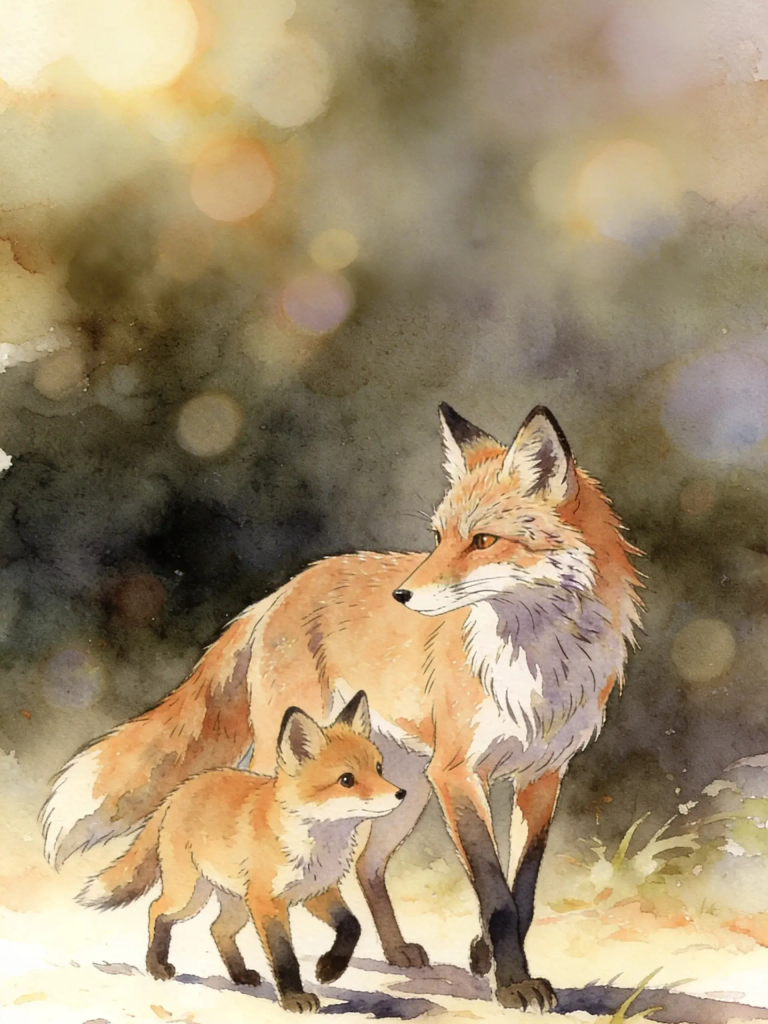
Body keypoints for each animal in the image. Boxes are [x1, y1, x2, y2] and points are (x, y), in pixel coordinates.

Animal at [78, 691, 403, 1013]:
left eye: (379, 769)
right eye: (347, 780)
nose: (401, 793)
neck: (317, 842)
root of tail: (182, 789)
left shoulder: (317, 891)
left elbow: (352, 926)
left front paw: (330, 968)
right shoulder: (266, 901)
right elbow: (284, 956)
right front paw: (294, 998)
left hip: (235, 904)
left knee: (217, 929)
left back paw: (239, 974)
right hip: (190, 896)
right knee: (156, 910)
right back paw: (156, 965)